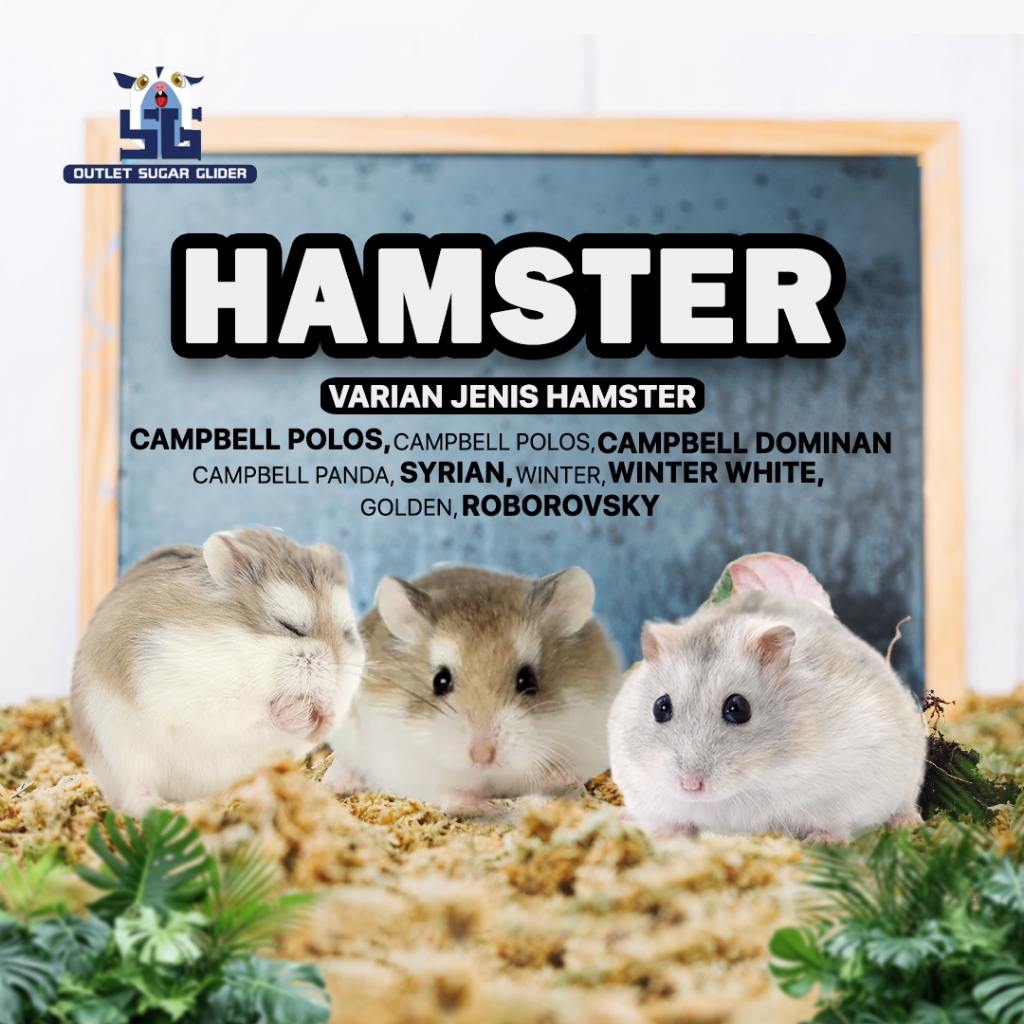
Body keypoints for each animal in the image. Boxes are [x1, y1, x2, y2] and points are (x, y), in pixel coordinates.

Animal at [71, 528, 364, 817]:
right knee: (134, 793)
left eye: (346, 633)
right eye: (289, 626)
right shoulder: (192, 697)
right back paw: (165, 809)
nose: (337, 672)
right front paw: (295, 712)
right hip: (122, 754)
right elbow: (250, 718)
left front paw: (324, 718)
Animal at [323, 565, 622, 815]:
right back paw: (338, 784)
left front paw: (561, 777)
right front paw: (483, 808)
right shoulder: (406, 763)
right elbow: (448, 790)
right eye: (440, 681)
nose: (482, 755)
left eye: (527, 680)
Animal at [608, 590, 927, 843]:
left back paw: (908, 823)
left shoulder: (846, 786)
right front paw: (662, 836)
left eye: (738, 708)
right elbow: (671, 822)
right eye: (660, 707)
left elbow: (834, 824)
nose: (690, 786)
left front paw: (822, 842)